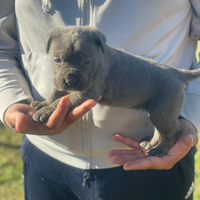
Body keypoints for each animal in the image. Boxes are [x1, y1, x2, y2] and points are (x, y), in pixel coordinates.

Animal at [30, 26, 200, 157]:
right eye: (57, 60)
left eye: (87, 61)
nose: (70, 81)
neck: (100, 59)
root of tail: (177, 73)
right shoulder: (59, 82)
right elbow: (55, 94)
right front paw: (43, 104)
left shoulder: (87, 92)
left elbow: (61, 100)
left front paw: (47, 110)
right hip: (158, 112)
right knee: (160, 131)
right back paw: (150, 144)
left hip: (163, 111)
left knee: (172, 132)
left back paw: (160, 150)